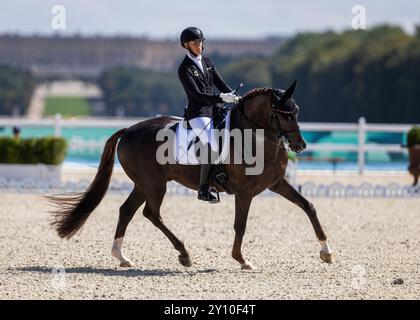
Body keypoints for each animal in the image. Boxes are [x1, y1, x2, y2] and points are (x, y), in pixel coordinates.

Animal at [47, 82, 334, 270]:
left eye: (297, 111)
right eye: (283, 114)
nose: (300, 146)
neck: (256, 138)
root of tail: (128, 129)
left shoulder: (276, 184)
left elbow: (308, 206)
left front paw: (327, 252)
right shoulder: (244, 193)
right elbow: (240, 225)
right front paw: (242, 260)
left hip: (144, 184)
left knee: (126, 210)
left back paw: (122, 256)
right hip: (155, 185)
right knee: (151, 214)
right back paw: (184, 254)